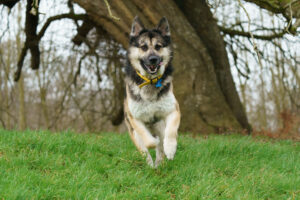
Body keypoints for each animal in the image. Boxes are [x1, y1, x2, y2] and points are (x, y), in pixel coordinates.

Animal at [123, 16, 180, 167]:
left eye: (158, 46)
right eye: (143, 47)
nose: (153, 59)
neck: (150, 81)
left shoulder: (173, 110)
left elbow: (171, 132)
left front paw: (170, 148)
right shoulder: (135, 118)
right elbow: (148, 141)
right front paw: (154, 142)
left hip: (160, 126)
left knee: (161, 148)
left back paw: (160, 162)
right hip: (134, 134)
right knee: (144, 150)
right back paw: (150, 165)